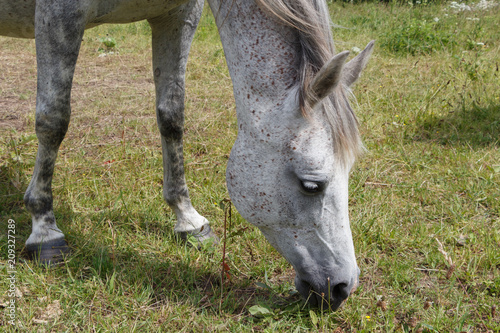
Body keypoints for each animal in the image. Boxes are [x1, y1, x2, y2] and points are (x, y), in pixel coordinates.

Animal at [0, 0, 372, 308]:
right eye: (311, 185)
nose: (343, 288)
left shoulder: (177, 17)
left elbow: (171, 116)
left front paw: (188, 218)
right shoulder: (59, 17)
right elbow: (53, 120)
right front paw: (45, 229)